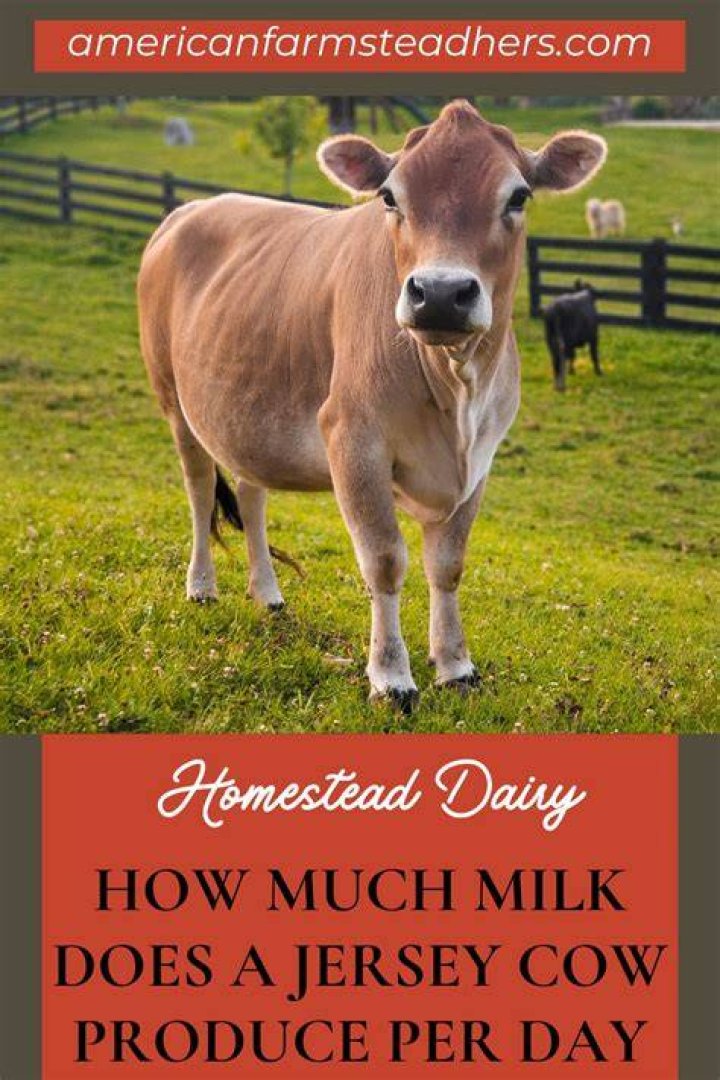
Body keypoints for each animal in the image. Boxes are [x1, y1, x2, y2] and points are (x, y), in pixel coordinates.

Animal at [138, 101, 607, 713]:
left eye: (519, 196)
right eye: (389, 196)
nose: (440, 293)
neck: (454, 391)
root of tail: (189, 210)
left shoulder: (481, 459)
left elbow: (448, 565)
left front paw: (456, 666)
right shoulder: (353, 439)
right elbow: (384, 560)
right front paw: (391, 676)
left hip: (246, 413)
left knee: (251, 493)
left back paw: (268, 594)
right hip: (174, 400)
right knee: (198, 489)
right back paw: (201, 586)